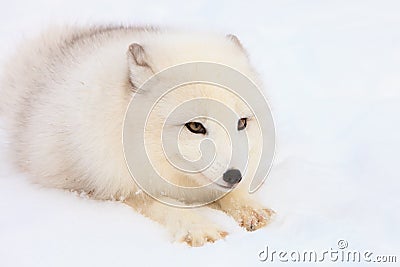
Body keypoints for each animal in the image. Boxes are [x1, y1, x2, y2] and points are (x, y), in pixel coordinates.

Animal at [0, 25, 274, 247]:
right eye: (195, 127)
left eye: (241, 123)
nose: (234, 176)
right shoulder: (114, 188)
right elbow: (161, 205)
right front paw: (198, 227)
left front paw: (248, 207)